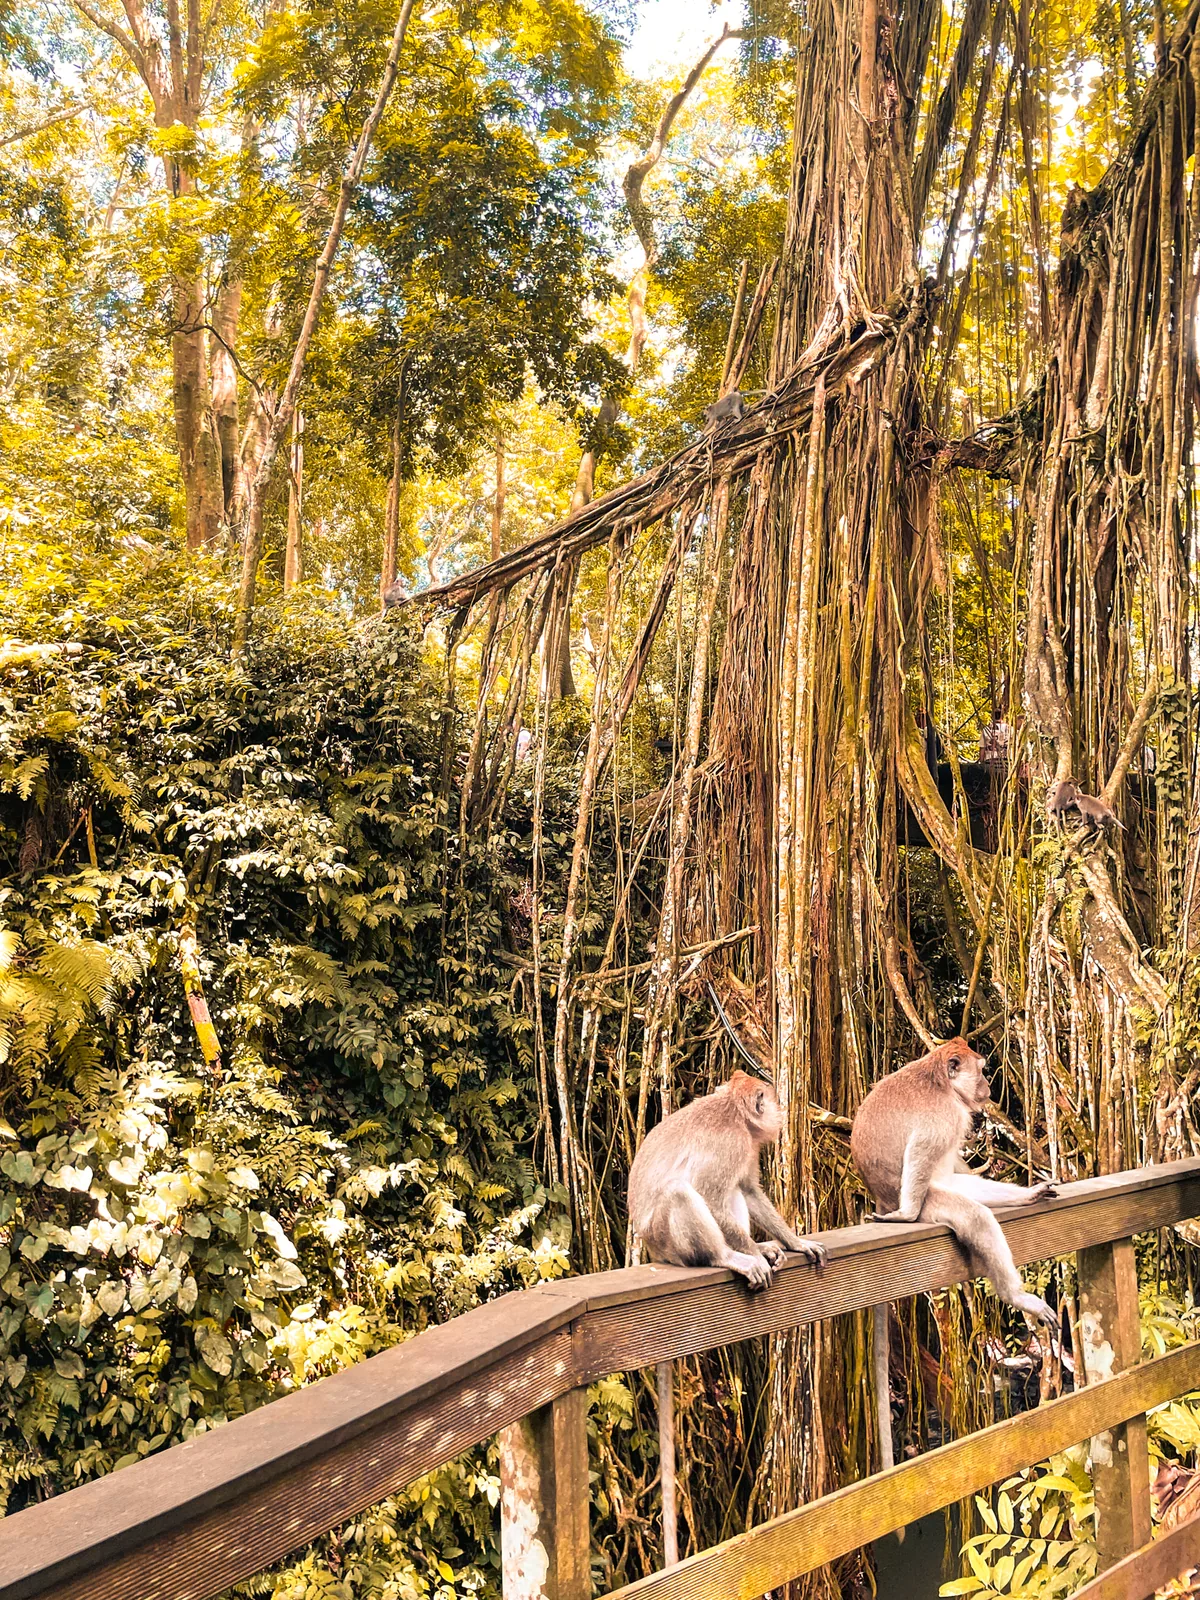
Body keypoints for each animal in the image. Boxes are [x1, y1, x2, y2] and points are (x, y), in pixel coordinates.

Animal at [629, 1071, 826, 1290]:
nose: (774, 1108)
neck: (733, 1109)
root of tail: (653, 1251)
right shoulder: (733, 1143)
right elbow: (710, 1199)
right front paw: (755, 1256)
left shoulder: (747, 1145)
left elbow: (748, 1190)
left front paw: (795, 1242)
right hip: (665, 1242)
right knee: (678, 1191)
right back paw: (725, 1256)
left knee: (732, 1190)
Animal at [850, 1039, 1059, 1329]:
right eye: (981, 1070)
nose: (988, 1085)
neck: (943, 1084)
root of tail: (881, 1199)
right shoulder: (944, 1114)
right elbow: (919, 1153)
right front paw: (906, 1215)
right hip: (930, 1202)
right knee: (976, 1217)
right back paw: (1015, 1296)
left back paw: (1026, 1196)